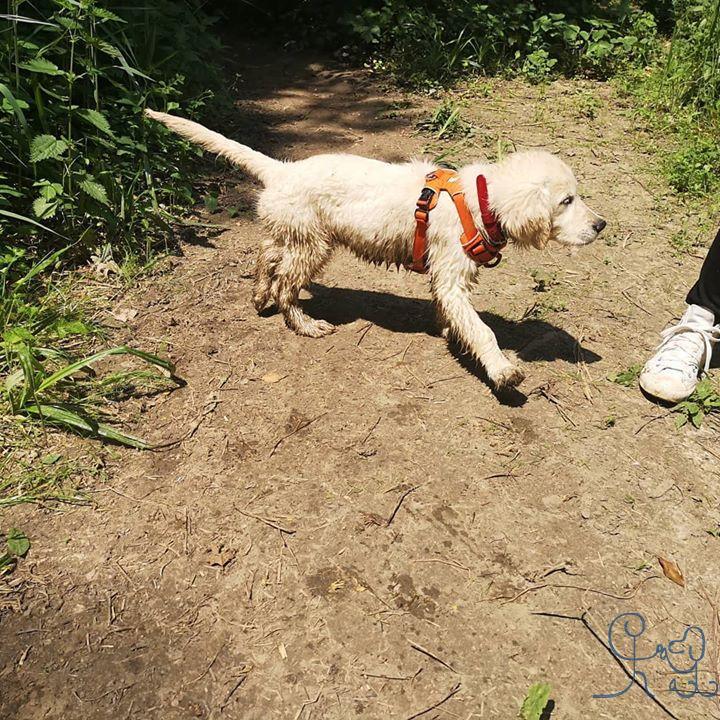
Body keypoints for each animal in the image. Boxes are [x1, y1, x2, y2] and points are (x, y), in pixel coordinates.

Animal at [145, 108, 600, 388]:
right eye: (566, 200)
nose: (601, 225)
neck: (479, 201)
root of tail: (281, 171)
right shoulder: (451, 277)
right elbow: (482, 329)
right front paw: (503, 370)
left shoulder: (447, 279)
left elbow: (456, 317)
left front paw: (450, 330)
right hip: (314, 246)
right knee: (286, 285)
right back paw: (305, 324)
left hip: (295, 232)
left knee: (267, 255)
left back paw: (259, 296)